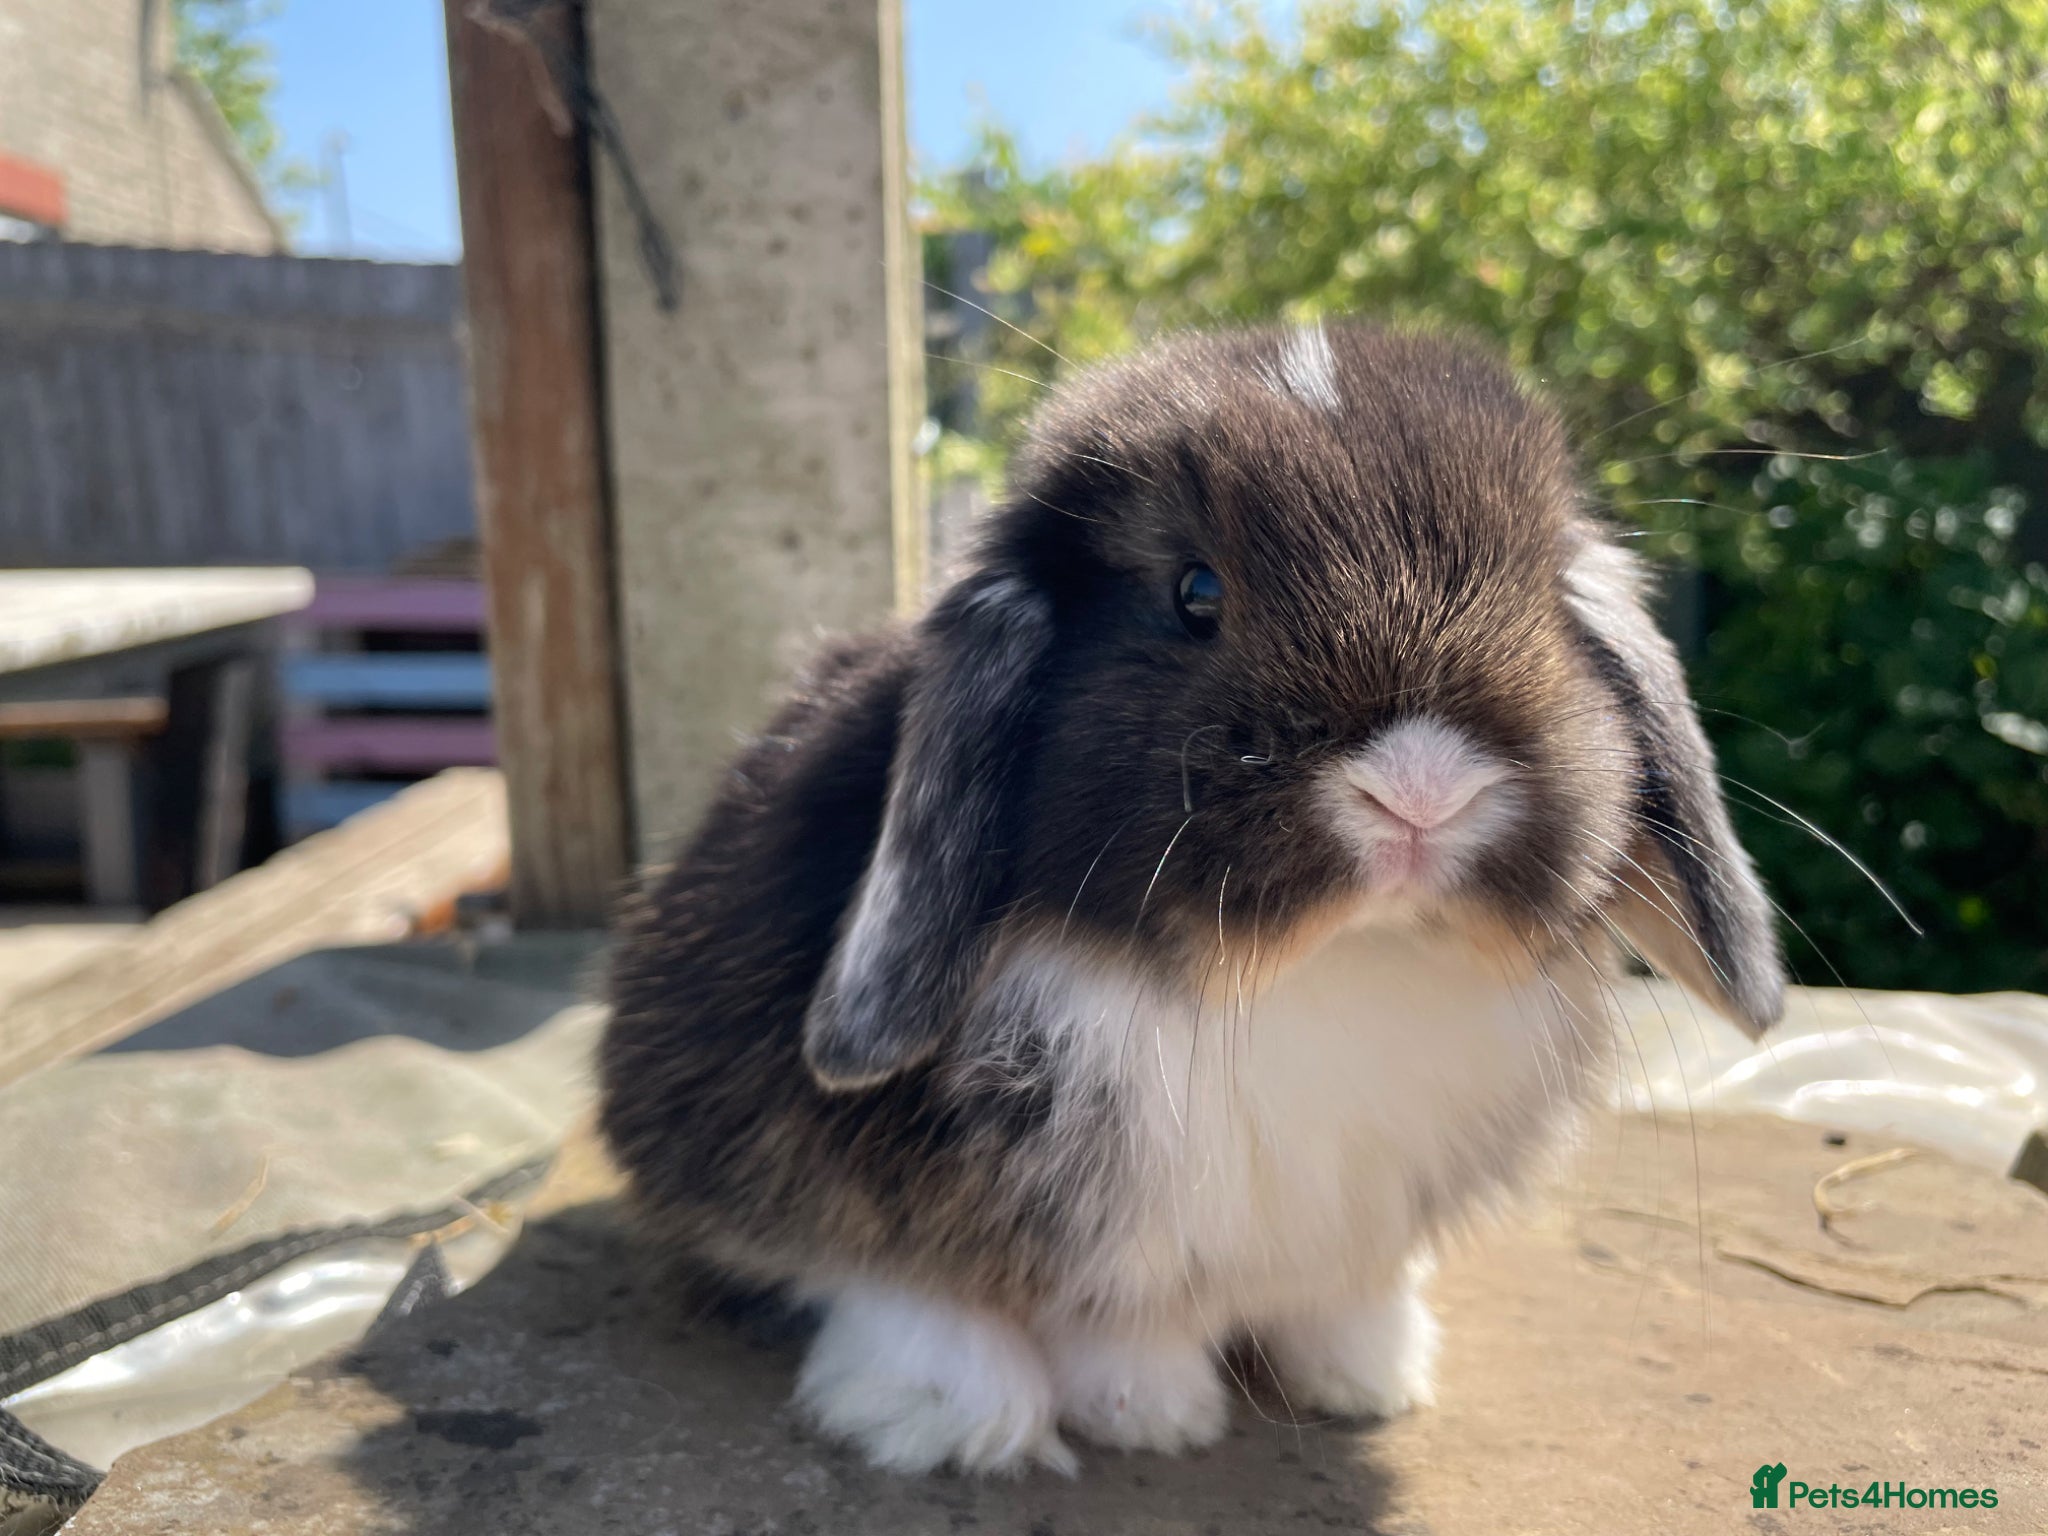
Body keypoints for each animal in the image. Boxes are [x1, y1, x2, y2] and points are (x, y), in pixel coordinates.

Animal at [600, 322, 1784, 1476]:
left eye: (1541, 590)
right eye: (1194, 594)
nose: (1421, 789)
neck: (1328, 970)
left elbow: (1336, 1290)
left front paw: (1368, 1377)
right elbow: (1026, 1295)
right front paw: (1134, 1413)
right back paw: (960, 1413)